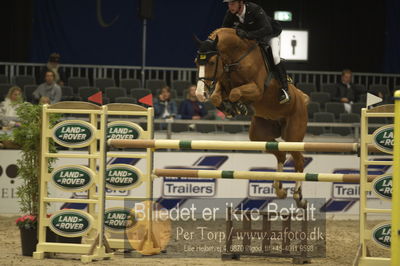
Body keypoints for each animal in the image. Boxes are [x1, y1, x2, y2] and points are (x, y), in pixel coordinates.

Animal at [195, 28, 308, 208]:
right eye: (195, 62)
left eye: (211, 62)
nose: (199, 94)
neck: (235, 58)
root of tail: (302, 99)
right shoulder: (222, 85)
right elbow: (217, 98)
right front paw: (230, 109)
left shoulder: (256, 89)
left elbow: (235, 93)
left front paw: (240, 106)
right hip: (259, 134)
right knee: (281, 154)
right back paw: (280, 189)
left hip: (293, 135)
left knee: (299, 160)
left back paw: (298, 196)